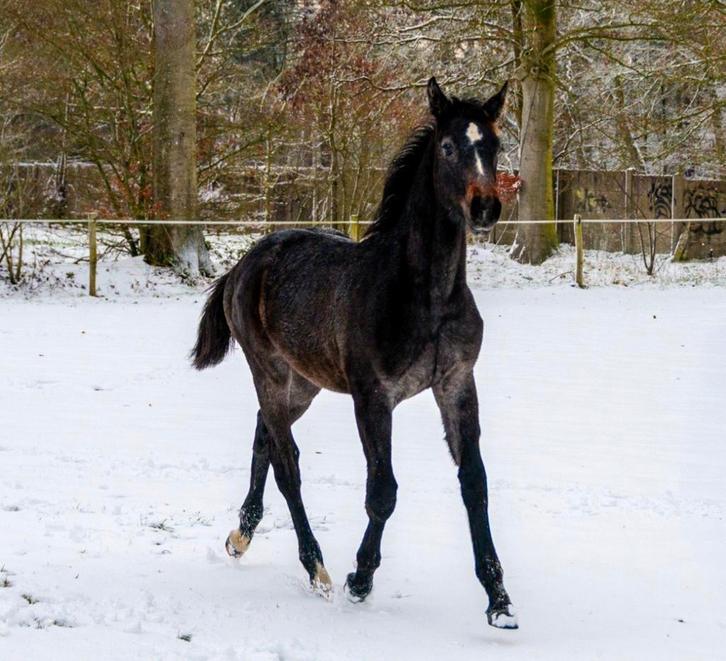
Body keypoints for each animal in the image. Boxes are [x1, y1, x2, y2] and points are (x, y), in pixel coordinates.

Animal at [191, 77, 517, 629]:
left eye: (493, 145)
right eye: (448, 147)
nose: (484, 208)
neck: (426, 295)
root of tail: (243, 264)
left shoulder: (456, 384)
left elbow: (474, 483)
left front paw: (499, 599)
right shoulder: (372, 396)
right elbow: (382, 491)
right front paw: (359, 579)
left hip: (304, 383)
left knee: (263, 440)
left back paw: (241, 536)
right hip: (269, 374)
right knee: (288, 465)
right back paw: (316, 568)